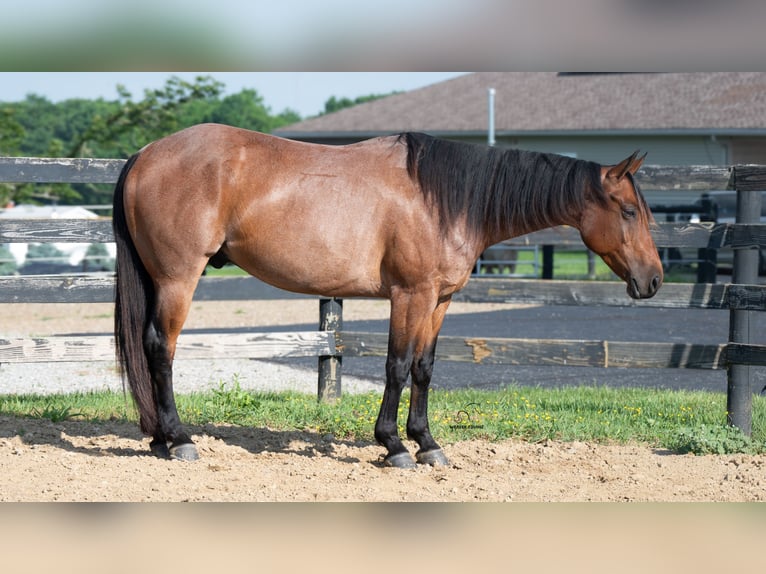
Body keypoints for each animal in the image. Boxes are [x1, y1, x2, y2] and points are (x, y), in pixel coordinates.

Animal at [113, 123, 662, 468]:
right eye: (629, 211)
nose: (654, 280)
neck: (444, 200)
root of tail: (145, 154)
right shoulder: (409, 294)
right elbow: (396, 366)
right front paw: (394, 445)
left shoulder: (438, 300)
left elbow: (423, 368)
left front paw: (427, 443)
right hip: (179, 278)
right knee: (161, 349)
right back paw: (179, 439)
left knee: (146, 347)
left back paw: (159, 438)